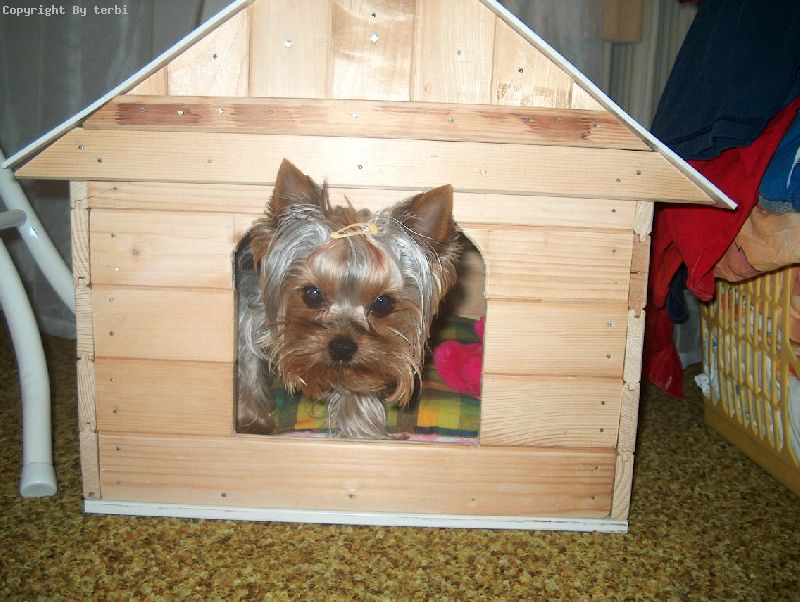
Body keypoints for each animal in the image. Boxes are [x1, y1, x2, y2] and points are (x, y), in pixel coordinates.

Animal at [236, 159, 461, 438]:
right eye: (312, 294)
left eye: (383, 303)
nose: (342, 347)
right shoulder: (249, 310)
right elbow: (247, 365)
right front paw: (250, 421)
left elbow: (357, 383)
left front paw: (359, 431)